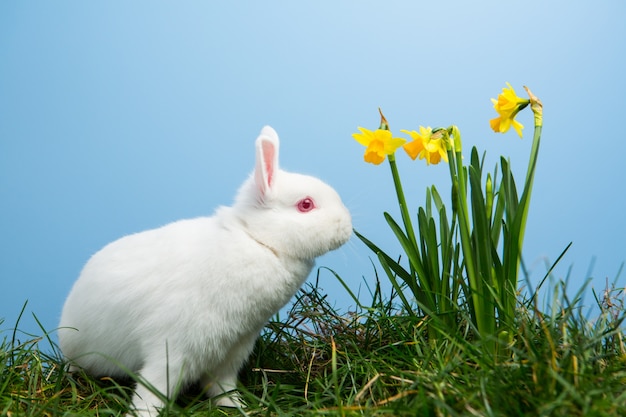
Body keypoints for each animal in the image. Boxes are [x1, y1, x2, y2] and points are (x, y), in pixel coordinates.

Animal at [58, 125, 352, 414]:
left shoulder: (234, 348)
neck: (257, 240)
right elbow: (153, 390)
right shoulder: (173, 348)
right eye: (306, 204)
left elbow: (221, 385)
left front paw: (237, 405)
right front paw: (143, 413)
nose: (348, 226)